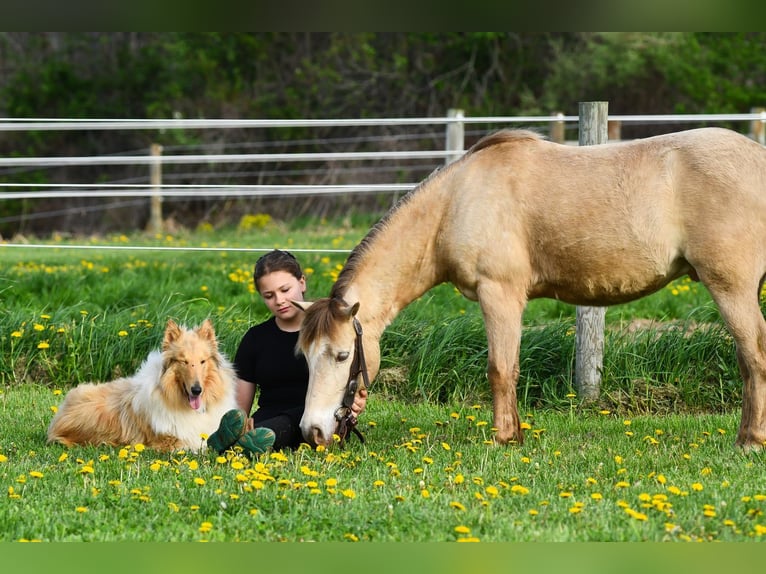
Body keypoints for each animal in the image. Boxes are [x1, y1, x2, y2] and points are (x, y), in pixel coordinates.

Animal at [294, 127, 766, 450]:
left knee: (753, 357)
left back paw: (749, 441)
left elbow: (501, 369)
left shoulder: (499, 294)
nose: (312, 431)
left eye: (342, 356)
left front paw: (506, 439)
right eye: (305, 357)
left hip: (732, 288)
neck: (455, 203)